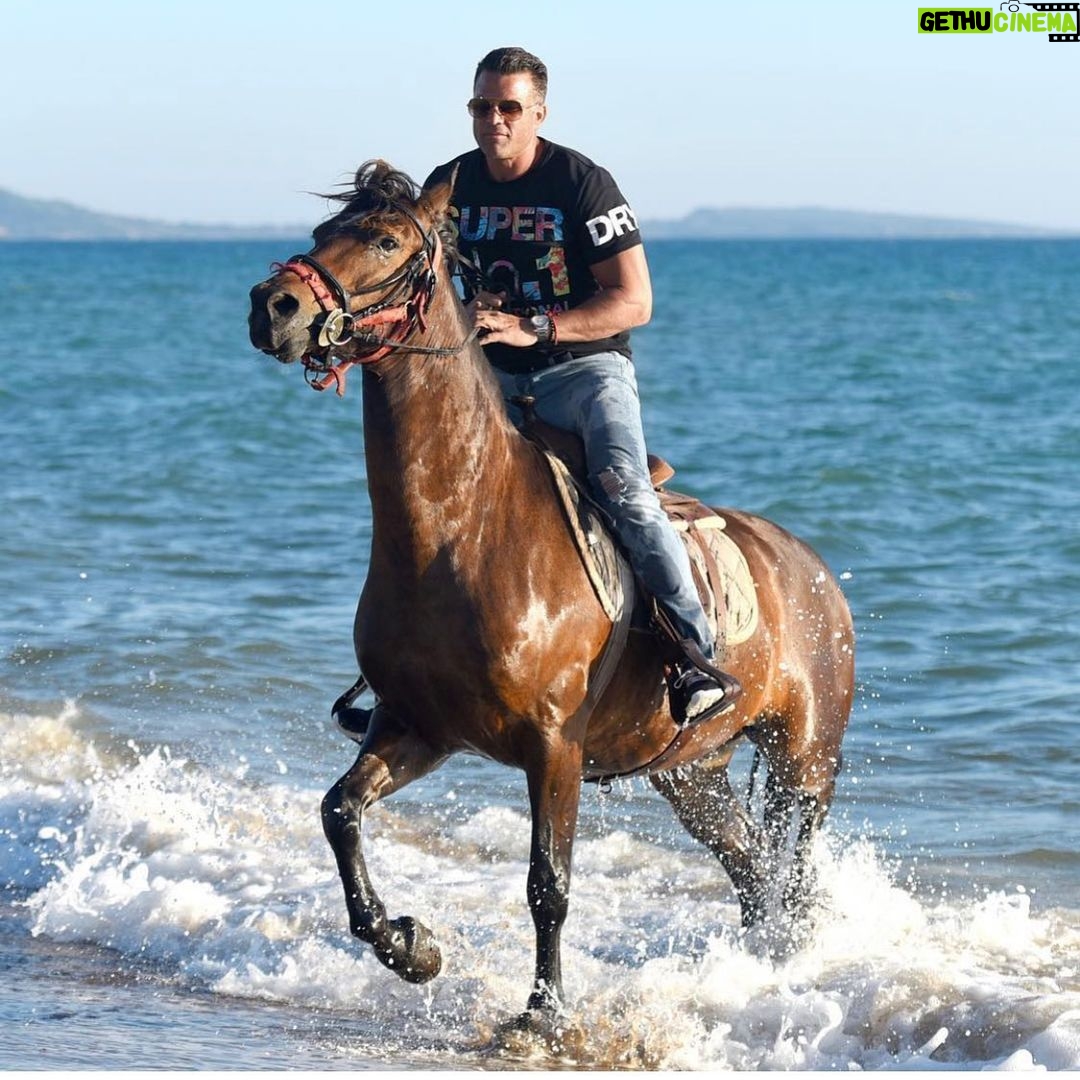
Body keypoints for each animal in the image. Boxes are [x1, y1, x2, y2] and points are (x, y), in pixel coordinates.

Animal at [248, 160, 854, 1024]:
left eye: (388, 239)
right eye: (320, 234)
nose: (273, 307)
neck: (461, 529)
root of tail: (814, 571)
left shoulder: (553, 744)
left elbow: (549, 883)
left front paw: (544, 1010)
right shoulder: (415, 726)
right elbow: (340, 813)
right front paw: (411, 947)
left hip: (806, 764)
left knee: (796, 877)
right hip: (693, 774)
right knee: (749, 871)